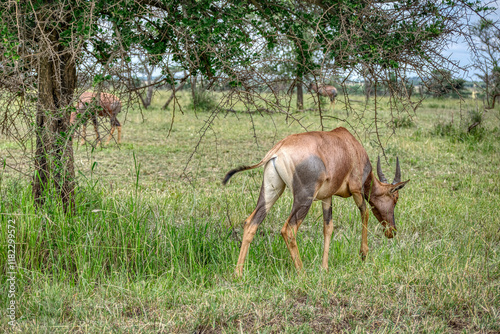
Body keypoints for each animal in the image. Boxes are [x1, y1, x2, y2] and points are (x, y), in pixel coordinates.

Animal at [225, 126, 408, 276]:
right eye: (395, 198)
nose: (392, 231)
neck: (351, 145)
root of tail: (278, 149)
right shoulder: (357, 190)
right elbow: (365, 213)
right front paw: (363, 254)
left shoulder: (327, 197)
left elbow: (328, 228)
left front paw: (324, 268)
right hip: (304, 198)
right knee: (288, 229)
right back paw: (302, 273)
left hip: (271, 190)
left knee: (251, 222)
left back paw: (238, 273)